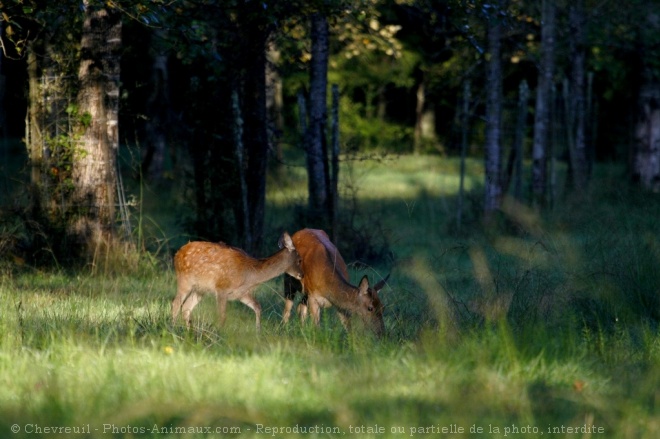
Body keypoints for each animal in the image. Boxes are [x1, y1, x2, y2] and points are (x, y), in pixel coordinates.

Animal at [171, 234, 302, 330]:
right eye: (300, 260)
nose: (302, 275)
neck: (250, 274)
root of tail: (177, 253)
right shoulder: (222, 288)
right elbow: (222, 316)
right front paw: (219, 336)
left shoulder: (241, 293)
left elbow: (258, 306)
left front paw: (258, 332)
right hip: (185, 280)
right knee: (175, 304)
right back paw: (172, 328)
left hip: (200, 289)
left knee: (186, 307)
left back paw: (189, 332)